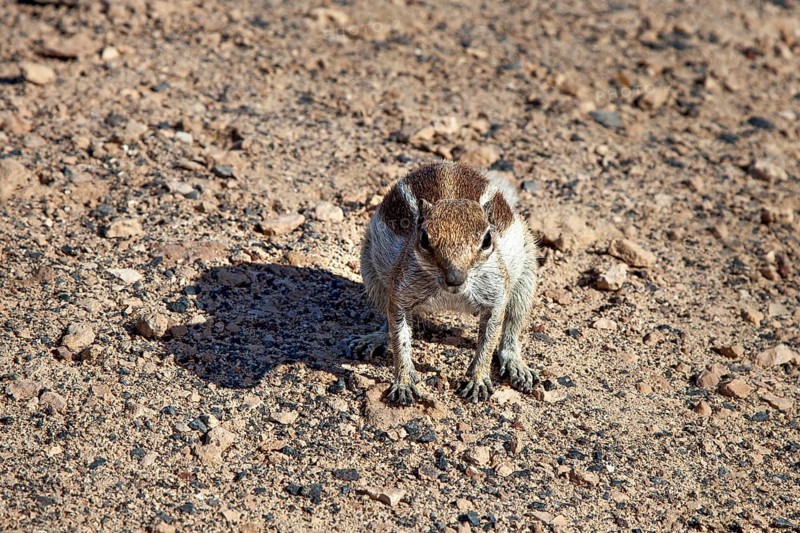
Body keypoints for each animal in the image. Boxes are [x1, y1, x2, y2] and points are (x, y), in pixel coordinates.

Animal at [347, 161, 539, 405]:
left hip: (526, 272)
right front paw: (404, 382)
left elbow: (489, 341)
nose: (455, 278)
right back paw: (374, 339)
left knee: (513, 325)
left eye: (487, 240)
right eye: (424, 239)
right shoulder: (401, 291)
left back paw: (516, 364)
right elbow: (399, 338)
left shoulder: (495, 295)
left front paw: (478, 380)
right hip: (371, 270)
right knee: (386, 317)